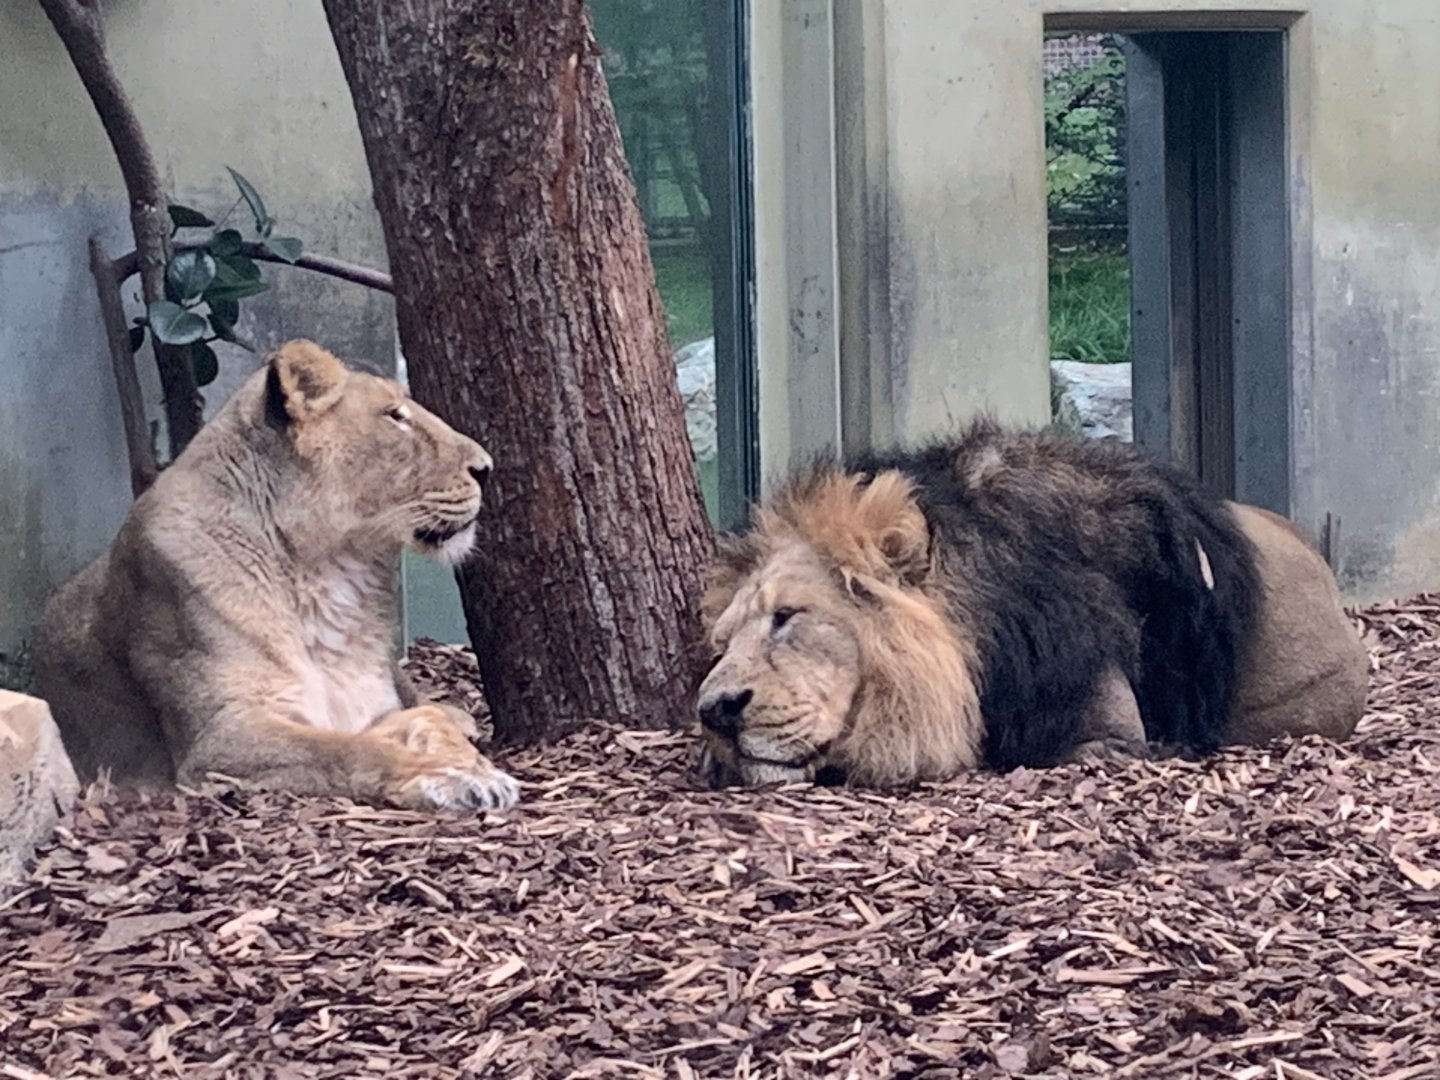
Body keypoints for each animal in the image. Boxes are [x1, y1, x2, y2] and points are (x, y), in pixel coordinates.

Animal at [30, 340, 519, 812]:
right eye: (395, 416)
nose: (487, 467)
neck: (332, 571)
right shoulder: (221, 736)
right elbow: (349, 750)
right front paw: (454, 776)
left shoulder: (369, 702)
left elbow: (421, 717)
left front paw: (472, 762)